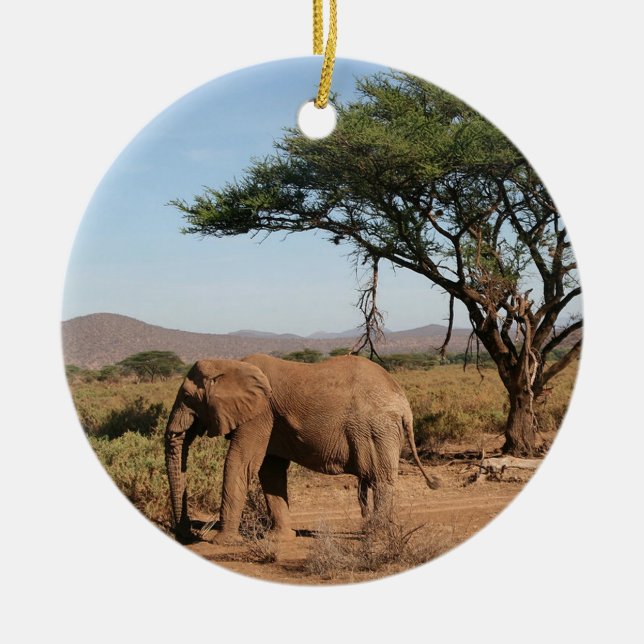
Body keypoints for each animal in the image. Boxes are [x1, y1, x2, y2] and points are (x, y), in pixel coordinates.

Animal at [165, 353, 440, 544]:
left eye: (187, 397)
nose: (186, 534)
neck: (230, 365)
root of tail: (405, 404)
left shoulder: (260, 413)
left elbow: (241, 462)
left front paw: (223, 542)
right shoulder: (270, 419)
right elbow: (270, 471)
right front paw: (280, 539)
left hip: (377, 427)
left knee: (380, 479)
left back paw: (377, 537)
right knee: (373, 480)